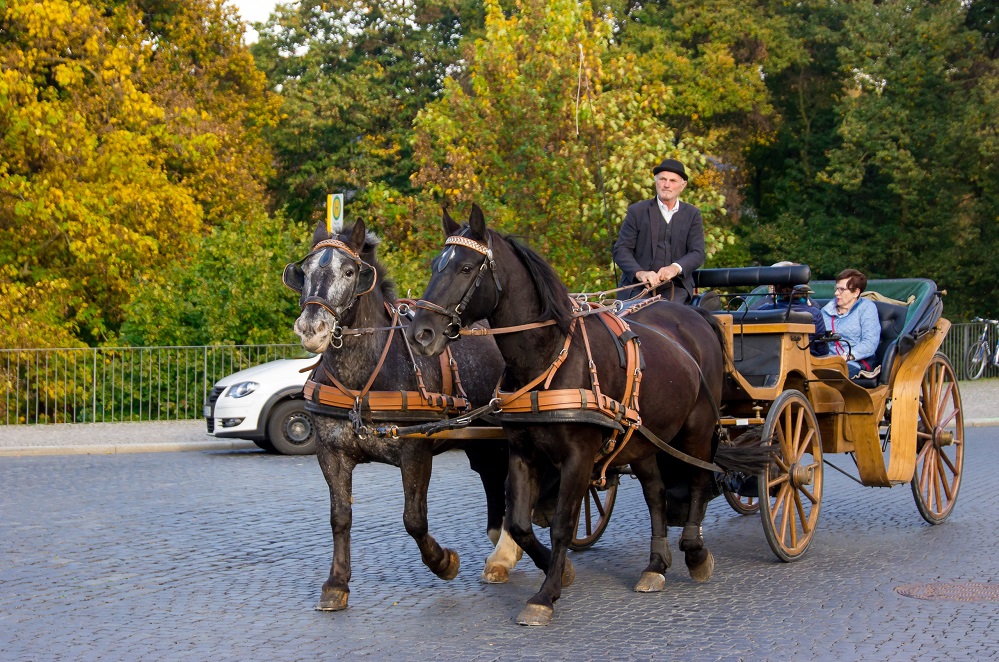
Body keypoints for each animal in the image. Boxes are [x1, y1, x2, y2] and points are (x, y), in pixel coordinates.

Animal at [286, 220, 524, 616]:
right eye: (303, 272)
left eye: (349, 272)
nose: (311, 328)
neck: (364, 379)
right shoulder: (331, 452)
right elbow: (340, 517)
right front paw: (336, 583)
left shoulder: (415, 450)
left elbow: (414, 519)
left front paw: (443, 562)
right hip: (481, 439)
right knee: (492, 476)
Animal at [406, 206, 756, 628]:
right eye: (434, 265)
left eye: (466, 268)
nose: (421, 333)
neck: (550, 356)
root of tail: (698, 316)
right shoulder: (523, 452)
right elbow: (520, 524)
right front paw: (556, 571)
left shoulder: (578, 457)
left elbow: (561, 524)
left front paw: (545, 595)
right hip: (643, 438)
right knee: (656, 493)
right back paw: (655, 565)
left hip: (697, 430)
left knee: (700, 481)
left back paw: (695, 551)